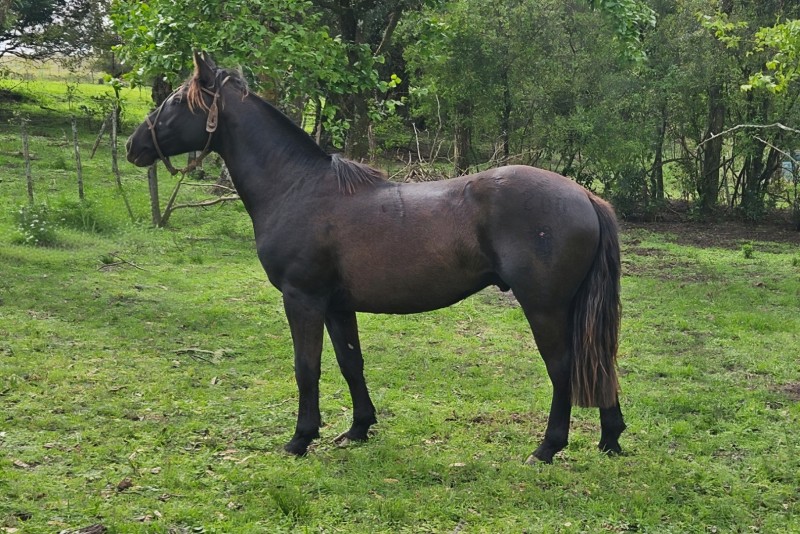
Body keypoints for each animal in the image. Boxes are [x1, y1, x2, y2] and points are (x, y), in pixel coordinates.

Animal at [126, 52, 626, 464]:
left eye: (175, 101)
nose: (135, 145)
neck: (296, 187)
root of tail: (584, 195)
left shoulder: (302, 299)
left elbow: (307, 367)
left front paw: (300, 438)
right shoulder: (337, 305)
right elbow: (351, 363)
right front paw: (358, 428)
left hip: (544, 307)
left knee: (564, 367)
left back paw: (548, 447)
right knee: (600, 361)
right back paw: (611, 438)